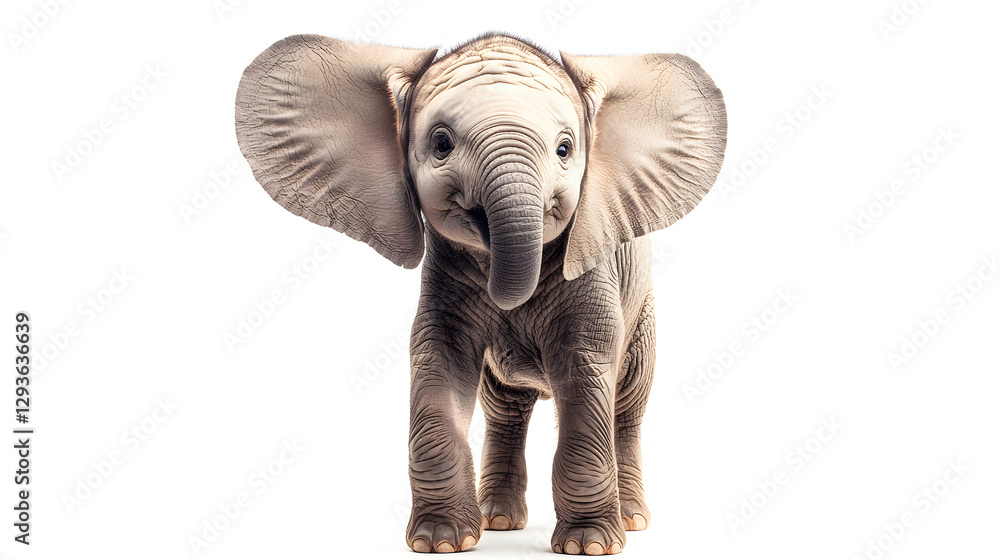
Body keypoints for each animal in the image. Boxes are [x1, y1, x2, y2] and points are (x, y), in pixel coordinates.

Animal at [235, 33, 726, 555]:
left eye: (565, 149)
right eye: (441, 144)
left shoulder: (595, 275)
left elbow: (586, 373)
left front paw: (589, 546)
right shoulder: (442, 283)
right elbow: (439, 366)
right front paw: (440, 542)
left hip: (643, 312)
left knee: (626, 405)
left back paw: (630, 520)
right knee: (506, 406)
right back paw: (499, 521)